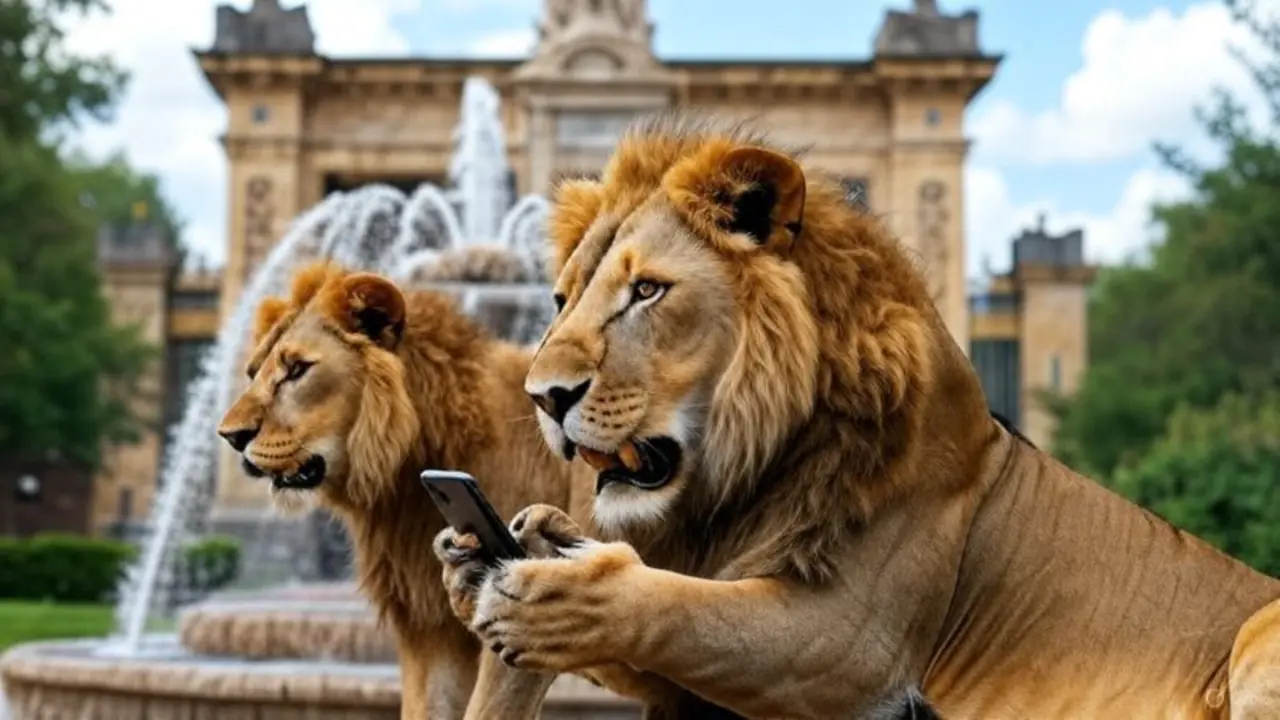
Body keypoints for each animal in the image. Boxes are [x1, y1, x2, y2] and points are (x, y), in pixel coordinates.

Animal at [433, 114, 1280, 719]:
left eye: (646, 292)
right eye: (559, 299)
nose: (542, 396)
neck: (742, 479)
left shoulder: (856, 646)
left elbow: (678, 606)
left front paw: (557, 595)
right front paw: (495, 551)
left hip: (1255, 638)